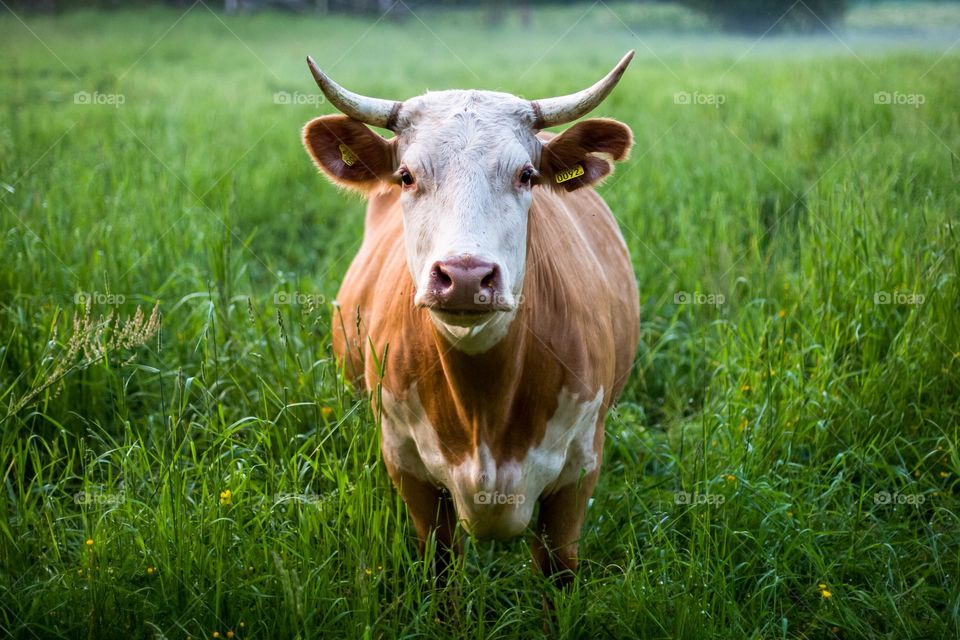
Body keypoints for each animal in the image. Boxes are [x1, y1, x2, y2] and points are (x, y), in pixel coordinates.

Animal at [301, 52, 640, 586]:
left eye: (526, 175)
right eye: (406, 175)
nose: (464, 276)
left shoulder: (579, 474)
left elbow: (558, 572)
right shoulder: (408, 469)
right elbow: (440, 569)